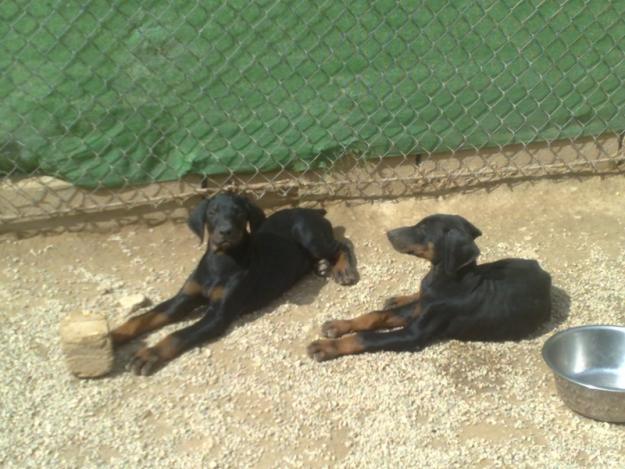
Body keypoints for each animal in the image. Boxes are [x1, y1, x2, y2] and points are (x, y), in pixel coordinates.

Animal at [111, 190, 356, 372]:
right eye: (212, 212)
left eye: (238, 213)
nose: (225, 231)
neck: (220, 260)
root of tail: (311, 210)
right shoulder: (184, 298)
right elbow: (144, 317)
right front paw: (113, 336)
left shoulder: (218, 315)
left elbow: (177, 334)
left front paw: (150, 354)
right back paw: (321, 266)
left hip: (309, 236)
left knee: (341, 245)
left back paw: (342, 269)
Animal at [308, 214, 552, 360]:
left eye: (423, 229)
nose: (388, 233)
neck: (445, 280)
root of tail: (542, 269)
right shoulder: (418, 309)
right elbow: (375, 316)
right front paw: (338, 325)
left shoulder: (414, 334)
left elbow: (366, 337)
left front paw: (325, 347)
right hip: (497, 265)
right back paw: (399, 298)